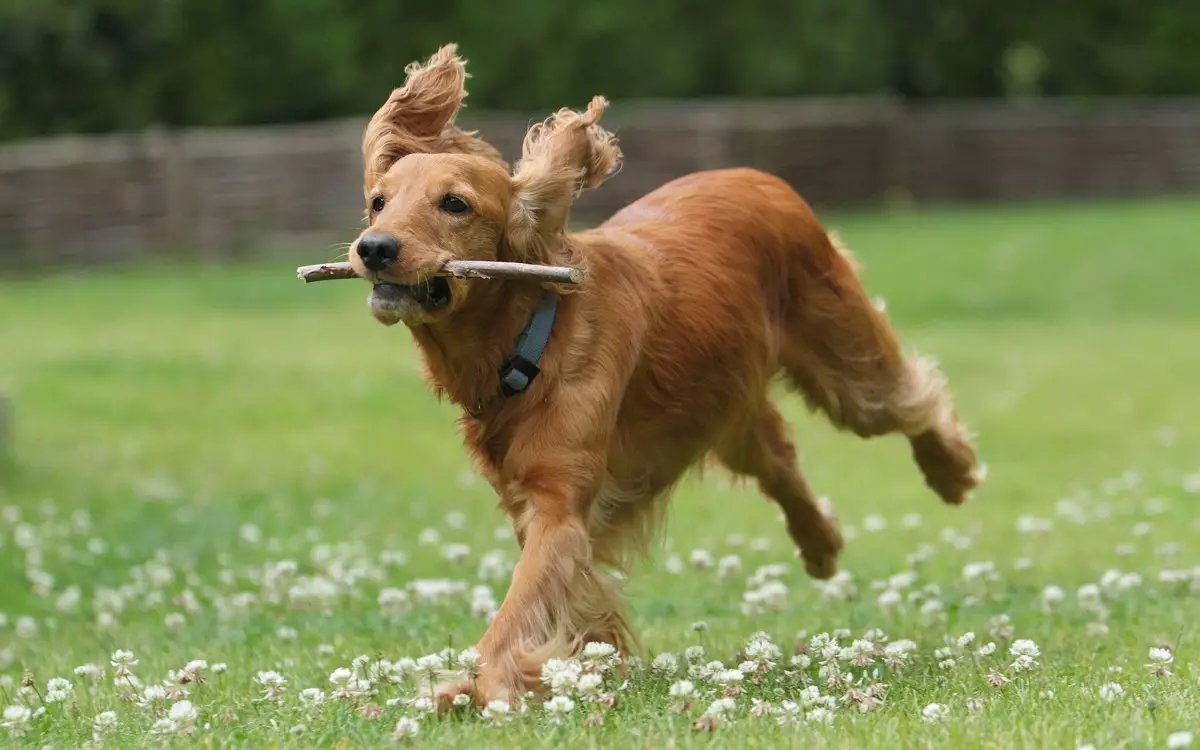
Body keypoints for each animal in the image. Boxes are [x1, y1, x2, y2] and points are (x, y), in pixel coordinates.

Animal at [348, 43, 984, 705]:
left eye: (455, 203)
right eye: (379, 201)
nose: (374, 247)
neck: (531, 337)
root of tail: (755, 174)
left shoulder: (558, 507)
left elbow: (521, 607)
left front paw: (485, 684)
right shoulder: (536, 507)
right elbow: (572, 600)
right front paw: (584, 661)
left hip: (846, 366)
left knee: (912, 399)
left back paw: (951, 471)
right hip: (726, 406)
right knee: (779, 458)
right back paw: (820, 544)